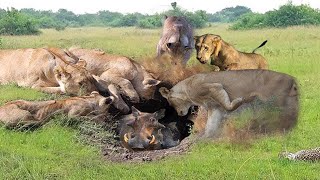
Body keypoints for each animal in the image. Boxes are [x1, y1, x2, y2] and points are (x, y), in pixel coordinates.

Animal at [161, 69, 298, 137]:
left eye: (171, 103)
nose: (180, 113)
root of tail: (292, 78)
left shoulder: (215, 87)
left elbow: (228, 107)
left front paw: (240, 100)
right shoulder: (214, 106)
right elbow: (211, 123)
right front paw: (206, 137)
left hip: (275, 98)